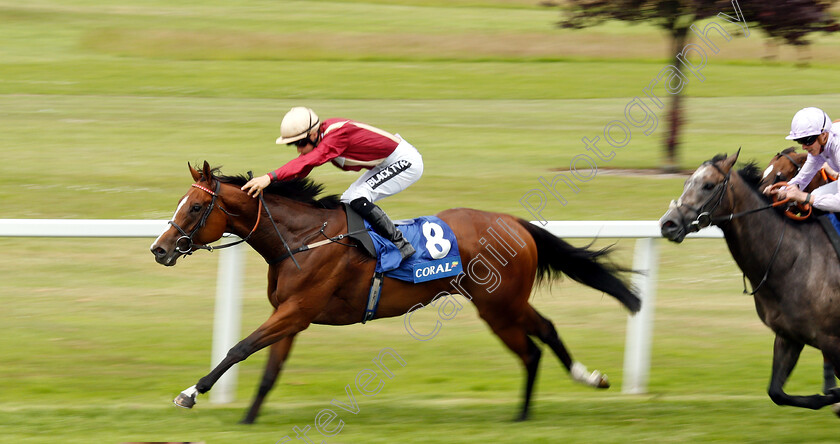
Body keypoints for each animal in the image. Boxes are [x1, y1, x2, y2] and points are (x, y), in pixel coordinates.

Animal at [149, 161, 636, 422]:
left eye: (196, 207)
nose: (159, 249)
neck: (301, 238)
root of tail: (515, 222)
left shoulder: (297, 310)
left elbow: (240, 347)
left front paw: (191, 393)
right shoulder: (291, 315)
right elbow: (270, 369)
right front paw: (249, 419)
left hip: (498, 305)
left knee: (533, 346)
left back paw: (537, 405)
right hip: (504, 302)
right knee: (544, 334)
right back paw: (577, 383)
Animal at [660, 151, 836, 414]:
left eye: (708, 185)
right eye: (686, 183)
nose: (667, 224)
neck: (795, 258)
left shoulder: (831, 340)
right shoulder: (789, 336)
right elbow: (776, 392)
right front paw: (826, 397)